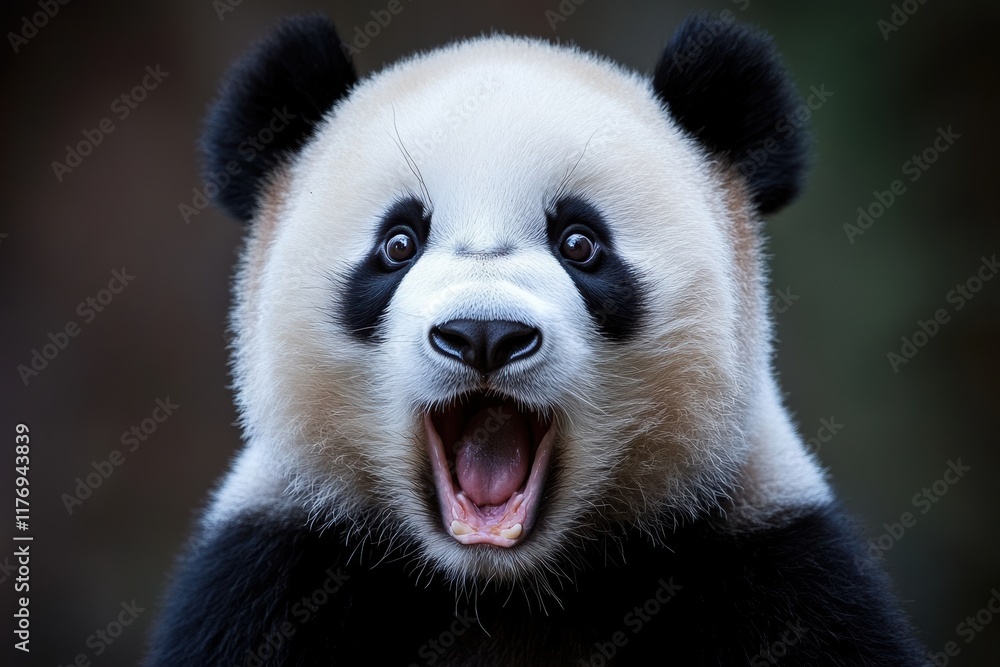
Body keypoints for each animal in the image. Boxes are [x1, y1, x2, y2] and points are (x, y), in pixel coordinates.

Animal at [146, 13, 924, 666]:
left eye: (579, 242)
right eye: (398, 243)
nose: (484, 334)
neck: (502, 589)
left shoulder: (768, 561)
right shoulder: (274, 573)